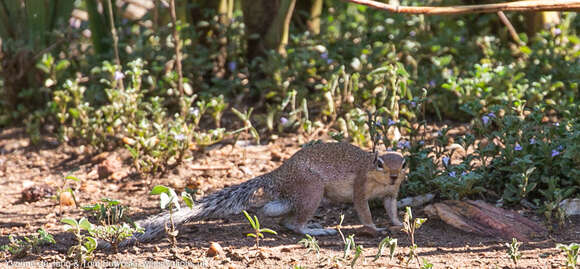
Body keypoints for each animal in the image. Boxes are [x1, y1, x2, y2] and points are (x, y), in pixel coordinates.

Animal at [132, 142, 406, 243]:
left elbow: (391, 207)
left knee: (279, 215)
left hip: (295, 197)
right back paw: (316, 230)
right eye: (379, 163)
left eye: (403, 163)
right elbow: (363, 210)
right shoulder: (360, 187)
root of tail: (277, 174)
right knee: (295, 224)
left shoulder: (392, 193)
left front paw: (398, 223)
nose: (394, 176)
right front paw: (374, 228)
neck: (382, 183)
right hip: (312, 190)